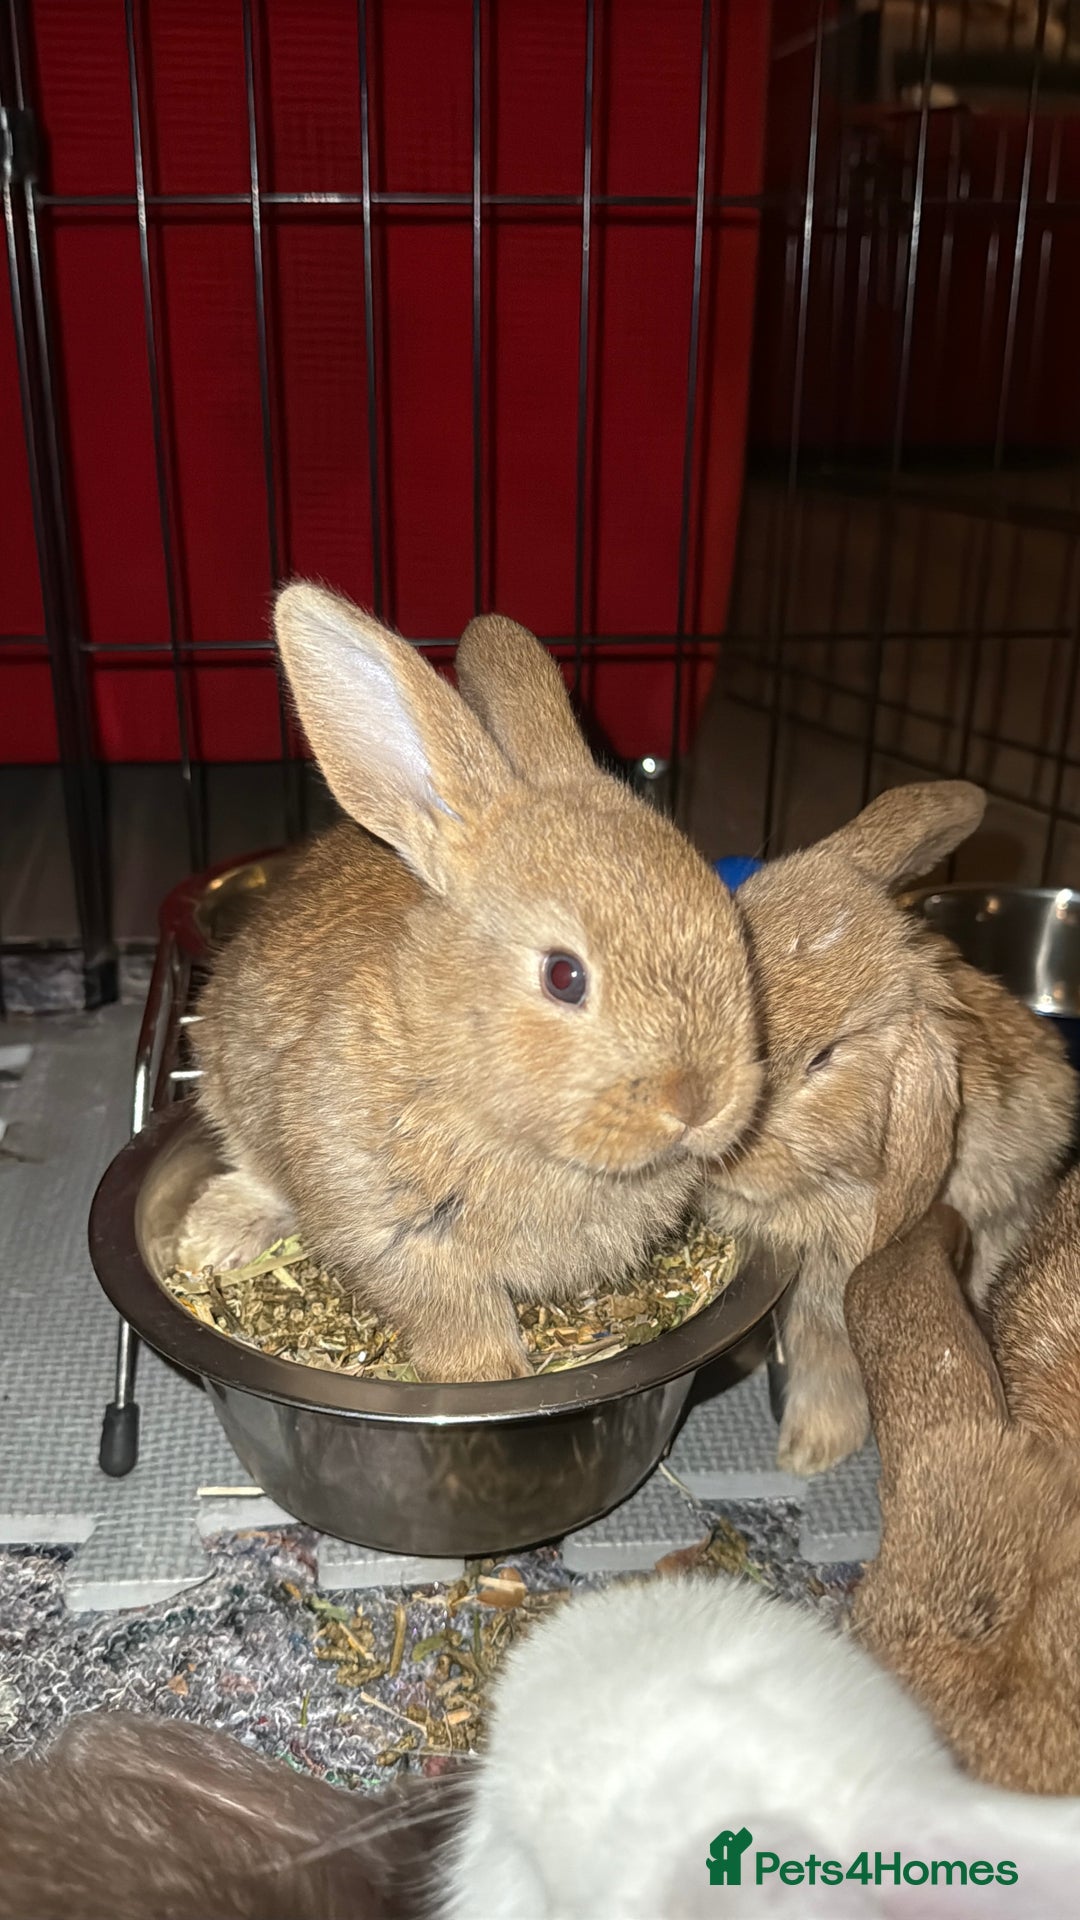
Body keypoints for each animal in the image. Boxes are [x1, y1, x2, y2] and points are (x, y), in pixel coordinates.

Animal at [182, 586, 763, 1382]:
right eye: (563, 975)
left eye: (735, 931)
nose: (699, 1103)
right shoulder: (398, 1231)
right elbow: (454, 1310)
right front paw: (488, 1372)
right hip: (227, 1087)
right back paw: (213, 1236)